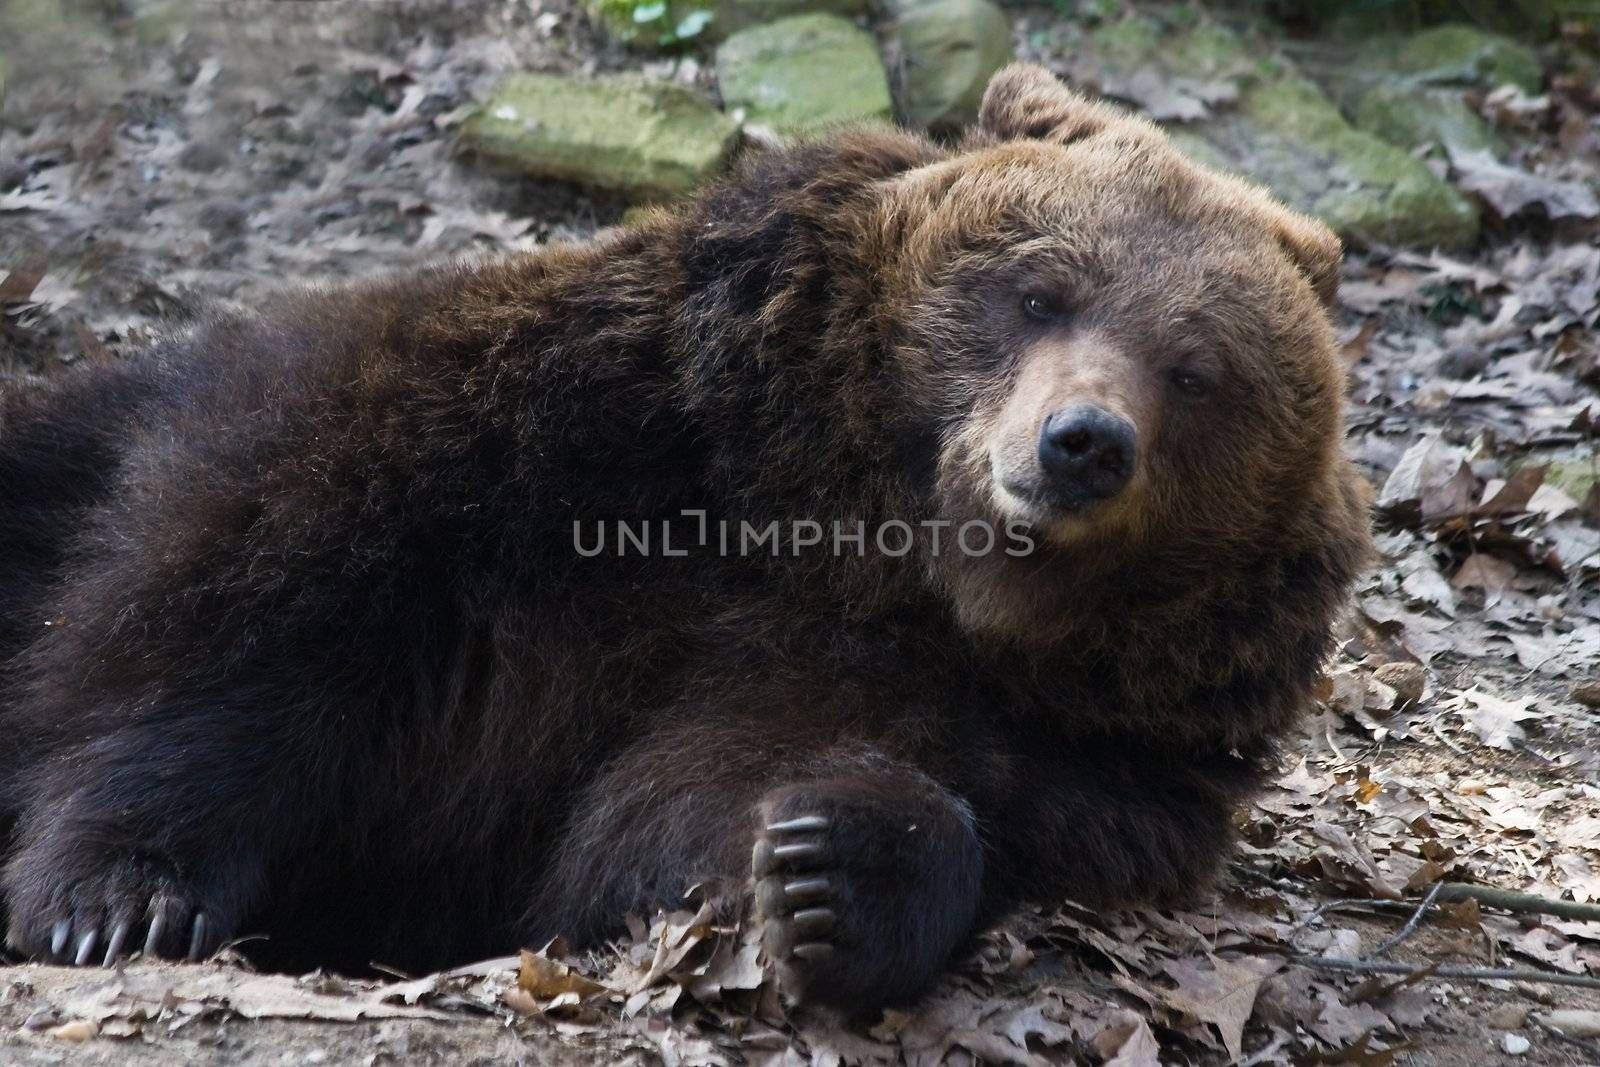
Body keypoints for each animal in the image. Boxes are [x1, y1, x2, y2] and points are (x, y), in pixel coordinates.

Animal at [0, 62, 1376, 1017]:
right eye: (1041, 289)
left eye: (1196, 369)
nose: (1081, 442)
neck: (867, 544)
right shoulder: (557, 443)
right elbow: (259, 616)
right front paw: (119, 897)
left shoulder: (1048, 733)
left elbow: (690, 814)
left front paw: (834, 868)